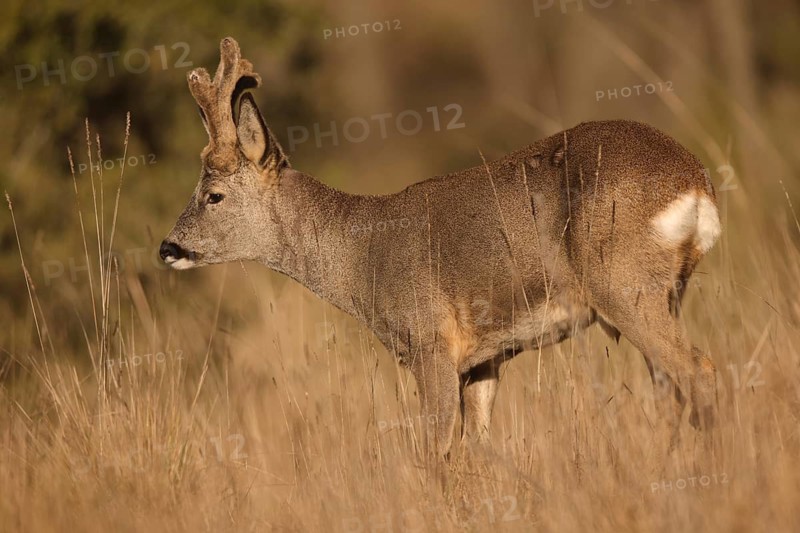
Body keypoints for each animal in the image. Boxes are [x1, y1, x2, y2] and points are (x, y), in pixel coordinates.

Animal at [160, 37, 721, 459]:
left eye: (213, 194)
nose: (168, 246)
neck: (362, 256)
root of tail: (696, 184)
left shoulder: (429, 342)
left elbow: (433, 452)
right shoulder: (485, 358)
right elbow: (477, 449)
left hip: (624, 285)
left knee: (698, 372)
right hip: (664, 293)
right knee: (671, 386)